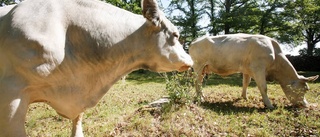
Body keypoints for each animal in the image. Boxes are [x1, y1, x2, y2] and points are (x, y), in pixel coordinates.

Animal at [190, 33, 318, 108]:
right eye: (305, 89)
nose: (306, 105)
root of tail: (195, 41)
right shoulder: (258, 68)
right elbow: (263, 87)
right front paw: (269, 105)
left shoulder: (247, 70)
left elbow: (245, 83)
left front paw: (244, 97)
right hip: (198, 66)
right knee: (197, 82)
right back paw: (200, 98)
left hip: (203, 68)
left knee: (199, 83)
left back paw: (202, 96)